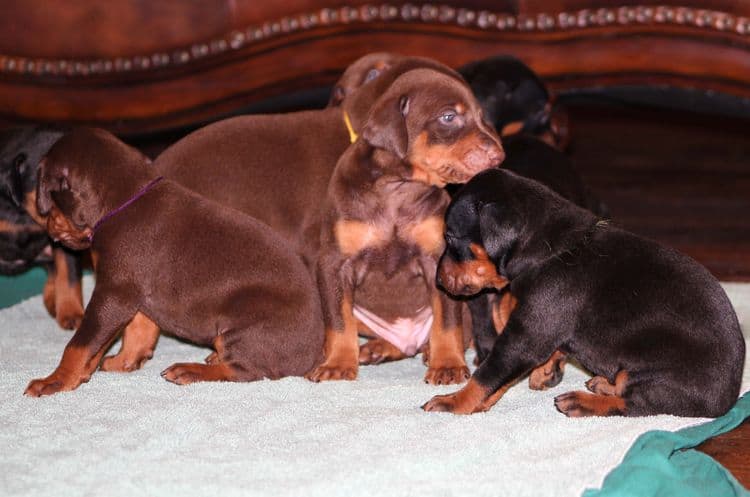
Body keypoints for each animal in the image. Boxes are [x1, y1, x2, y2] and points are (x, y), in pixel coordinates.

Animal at [22, 127, 324, 396]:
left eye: (48, 198)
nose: (47, 226)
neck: (125, 199)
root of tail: (313, 355)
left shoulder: (113, 292)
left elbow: (80, 344)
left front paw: (55, 381)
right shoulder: (135, 292)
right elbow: (138, 330)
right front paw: (124, 362)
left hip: (244, 321)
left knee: (246, 371)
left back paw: (189, 369)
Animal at [306, 67, 506, 384]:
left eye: (480, 115)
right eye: (448, 117)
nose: (499, 156)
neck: (398, 188)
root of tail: (408, 338)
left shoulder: (437, 259)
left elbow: (447, 322)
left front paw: (447, 364)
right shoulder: (335, 263)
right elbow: (338, 322)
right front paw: (337, 363)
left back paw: (427, 351)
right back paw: (375, 349)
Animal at [424, 169, 748, 416]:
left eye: (450, 237)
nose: (437, 280)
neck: (550, 249)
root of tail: (729, 398)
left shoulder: (527, 331)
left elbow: (489, 374)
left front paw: (453, 402)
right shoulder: (541, 322)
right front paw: (546, 370)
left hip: (657, 375)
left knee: (634, 404)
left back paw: (583, 402)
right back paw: (602, 383)